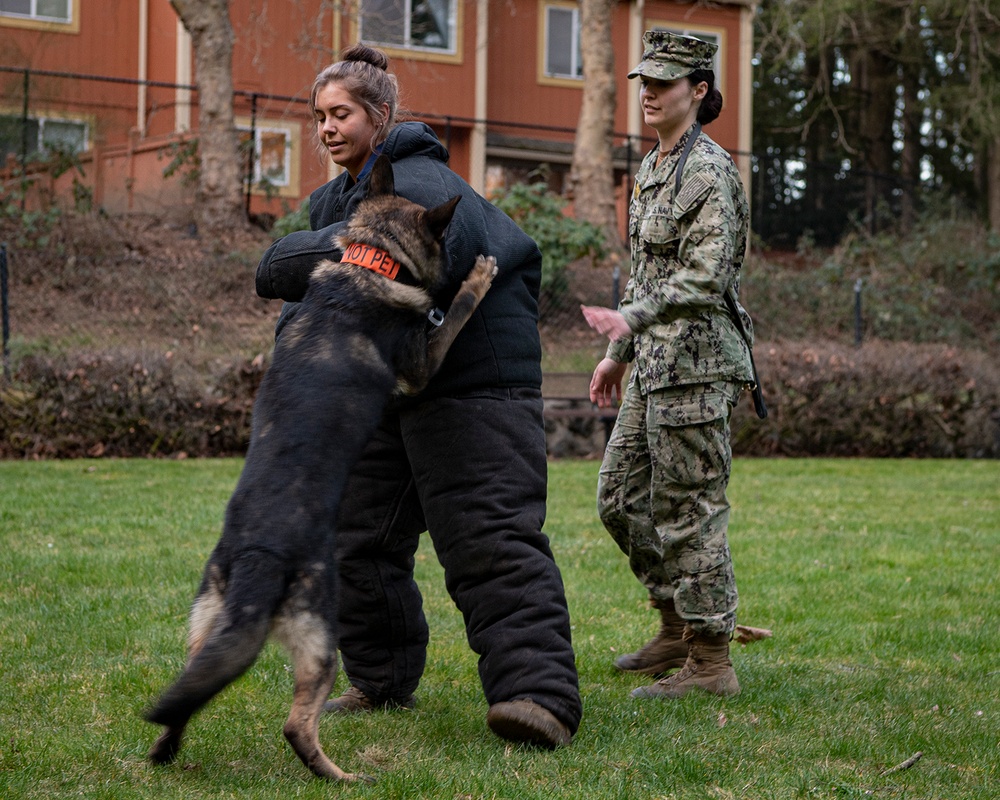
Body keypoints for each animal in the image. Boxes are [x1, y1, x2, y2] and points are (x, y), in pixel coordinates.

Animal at [145, 156, 496, 780]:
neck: (369, 261)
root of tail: (258, 556)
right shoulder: (420, 365)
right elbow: (453, 313)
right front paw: (477, 280)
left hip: (205, 624)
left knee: (187, 692)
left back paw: (166, 750)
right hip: (318, 637)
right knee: (295, 724)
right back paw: (342, 776)